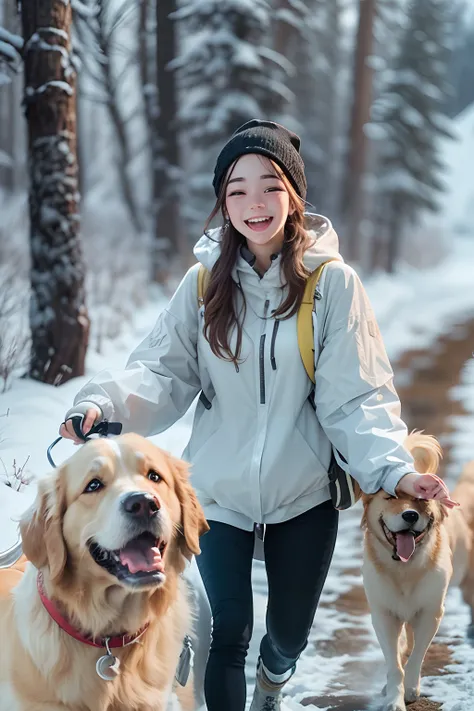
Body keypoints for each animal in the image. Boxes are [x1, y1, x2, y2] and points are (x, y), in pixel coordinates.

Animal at [362, 434, 474, 711]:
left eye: (422, 500)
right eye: (390, 497)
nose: (410, 515)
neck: (404, 568)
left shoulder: (430, 611)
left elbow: (415, 656)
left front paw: (411, 689)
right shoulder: (384, 614)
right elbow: (394, 663)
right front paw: (393, 699)